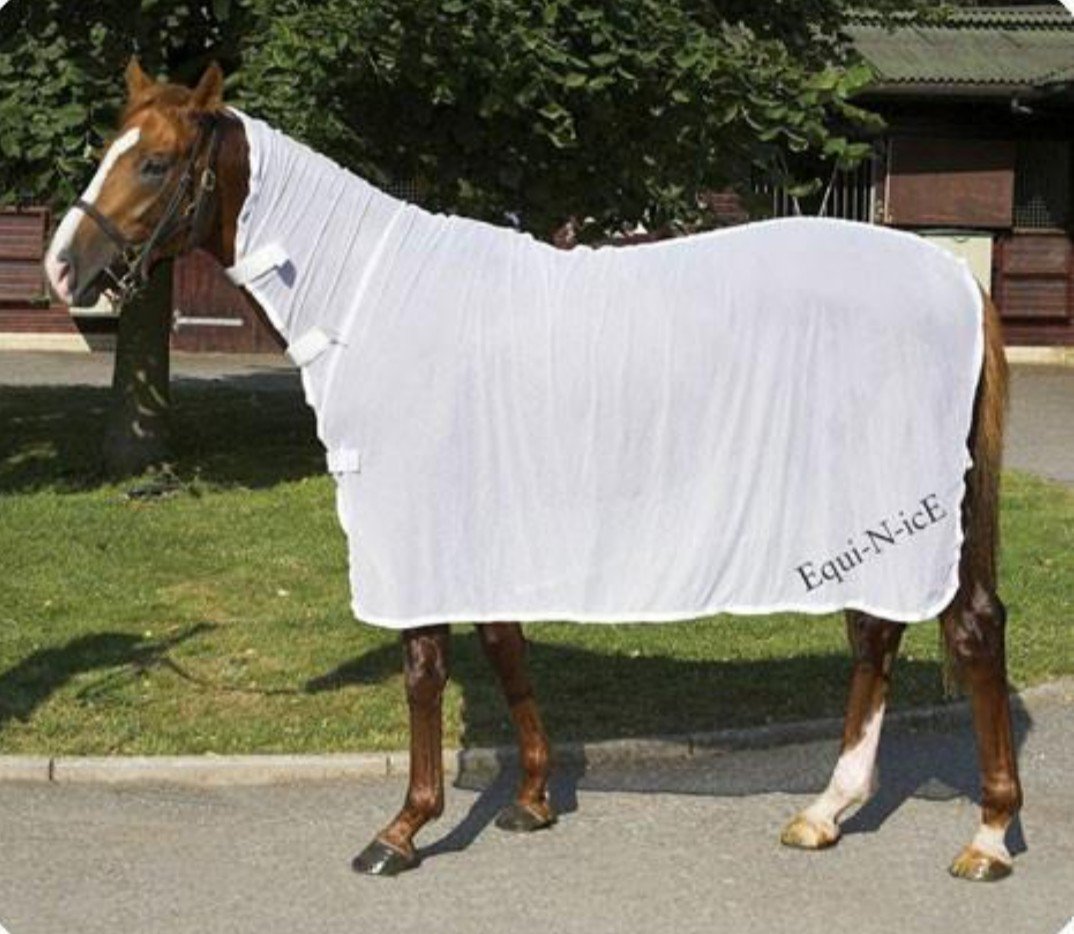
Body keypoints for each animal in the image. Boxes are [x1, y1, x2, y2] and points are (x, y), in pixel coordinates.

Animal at [44, 61, 1021, 882]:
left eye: (156, 163)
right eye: (107, 151)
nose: (63, 268)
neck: (374, 296)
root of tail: (954, 280)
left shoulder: (418, 515)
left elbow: (425, 667)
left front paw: (403, 829)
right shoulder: (478, 512)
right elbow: (503, 645)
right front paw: (531, 799)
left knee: (967, 629)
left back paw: (986, 837)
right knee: (879, 635)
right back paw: (828, 811)